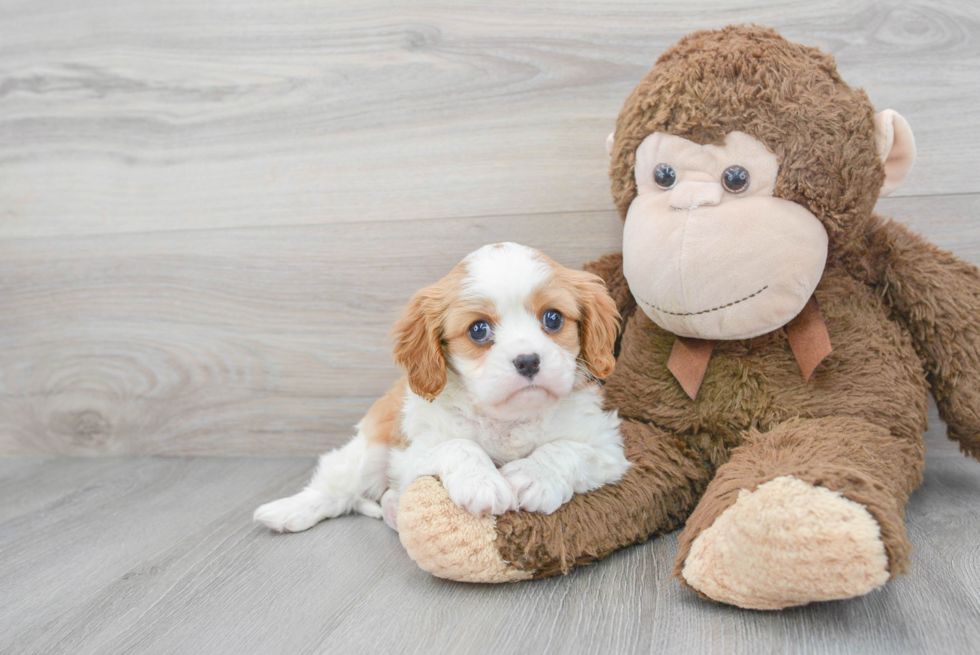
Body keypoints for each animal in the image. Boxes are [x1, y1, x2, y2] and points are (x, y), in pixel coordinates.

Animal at [253, 243, 632, 536]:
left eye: (553, 319)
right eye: (478, 329)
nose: (527, 361)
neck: (508, 419)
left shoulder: (607, 448)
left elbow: (568, 449)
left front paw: (533, 476)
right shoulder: (412, 455)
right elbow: (459, 446)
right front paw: (484, 483)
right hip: (370, 450)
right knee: (338, 486)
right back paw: (289, 511)